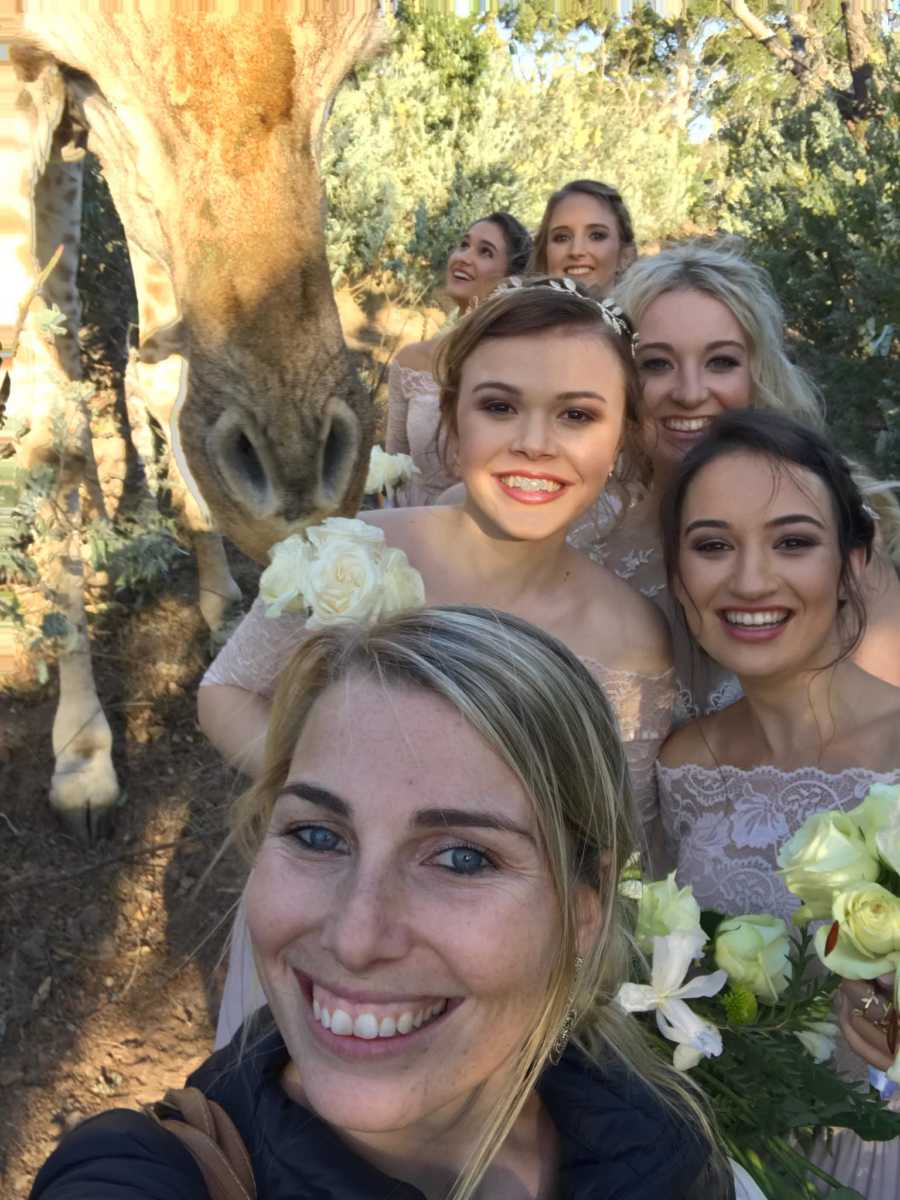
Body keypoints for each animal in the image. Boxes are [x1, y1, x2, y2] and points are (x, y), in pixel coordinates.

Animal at [0, 0, 381, 844]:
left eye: (351, 71)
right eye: (92, 78)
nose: (297, 482)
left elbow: (149, 382)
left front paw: (218, 599)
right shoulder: (33, 89)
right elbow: (52, 430)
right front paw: (83, 761)